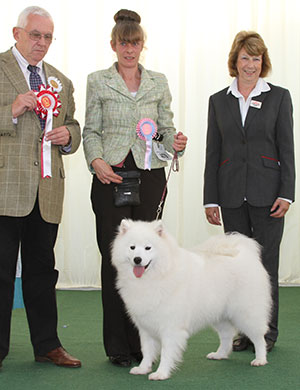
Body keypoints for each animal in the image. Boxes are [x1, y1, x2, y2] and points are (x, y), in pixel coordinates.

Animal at [110, 219, 272, 380]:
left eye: (148, 248)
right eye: (132, 247)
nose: (137, 259)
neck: (158, 275)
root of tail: (243, 252)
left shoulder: (170, 327)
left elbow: (166, 352)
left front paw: (161, 373)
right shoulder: (146, 326)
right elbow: (147, 350)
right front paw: (143, 368)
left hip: (246, 313)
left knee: (259, 337)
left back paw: (260, 359)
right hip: (219, 315)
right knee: (227, 335)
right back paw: (219, 354)